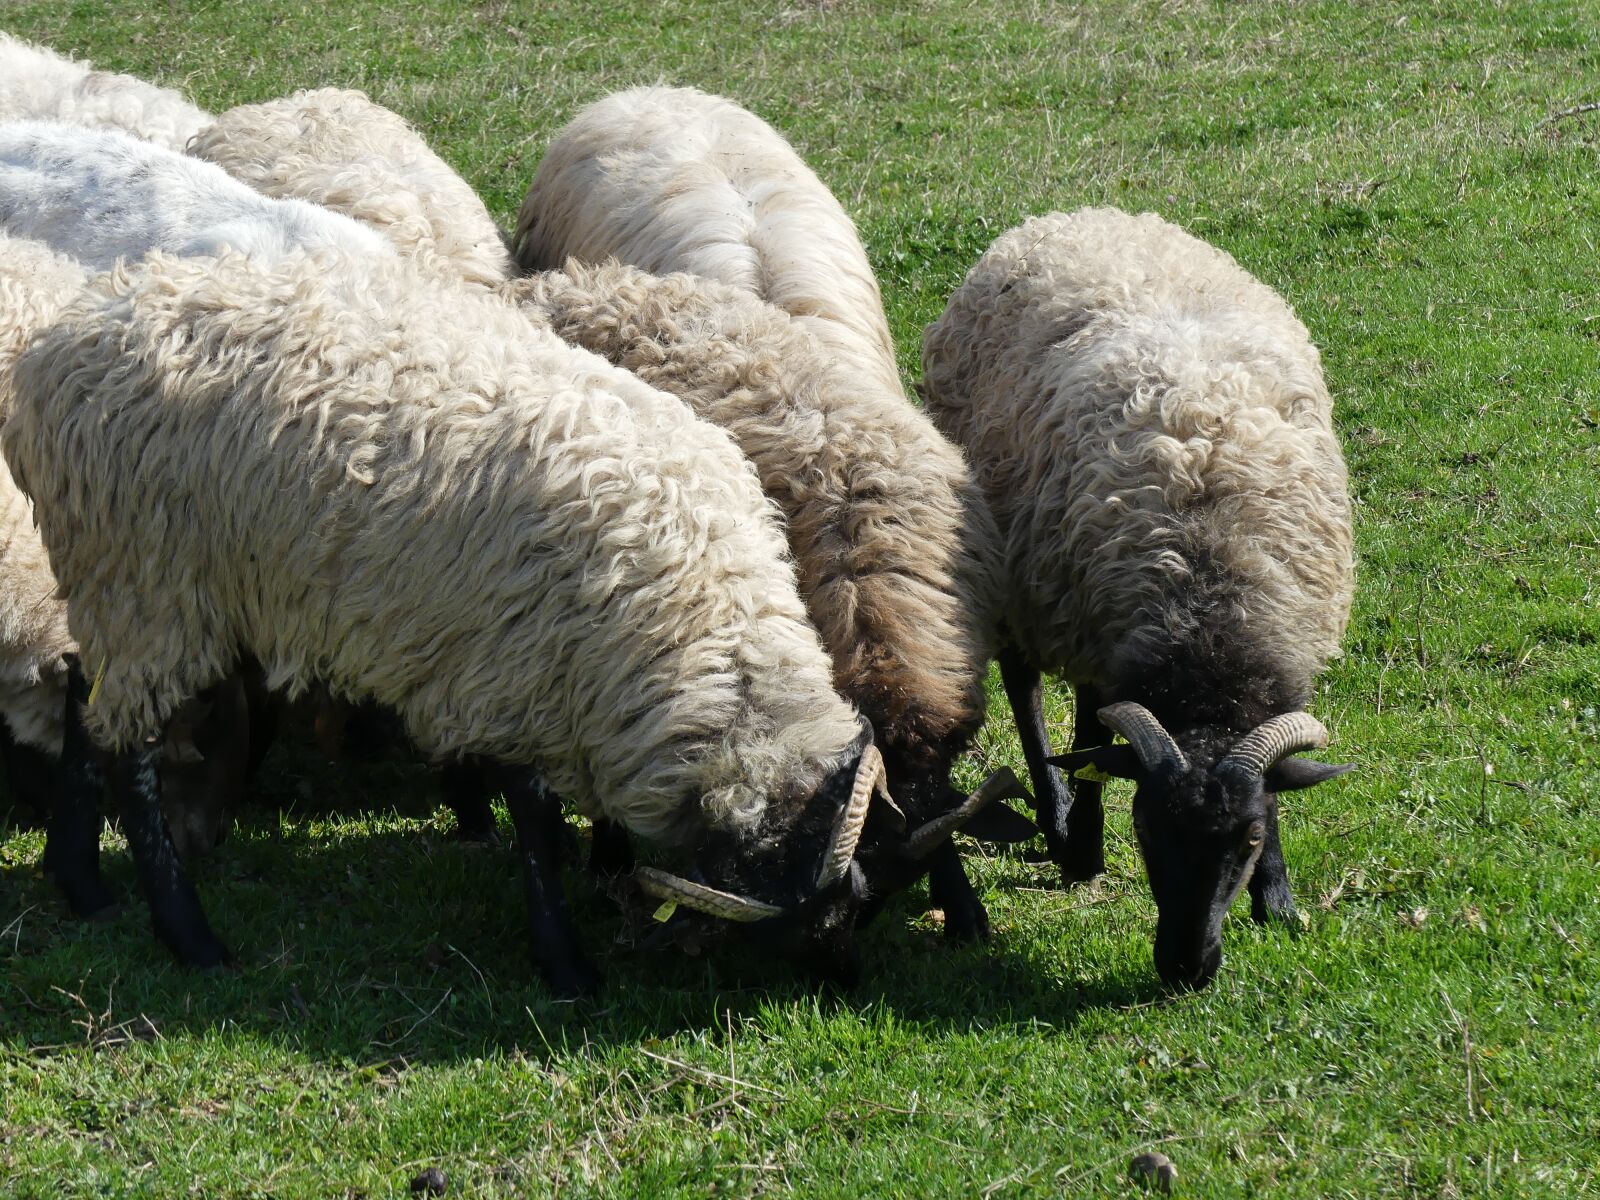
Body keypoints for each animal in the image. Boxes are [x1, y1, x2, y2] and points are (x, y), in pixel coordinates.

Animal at [921, 208, 1357, 990]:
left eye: (1249, 837)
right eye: (1147, 828)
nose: (1187, 968)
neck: (1212, 618)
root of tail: (1071, 216)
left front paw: (1277, 903)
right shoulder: (1097, 634)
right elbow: (1090, 738)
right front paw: (1085, 848)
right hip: (1013, 566)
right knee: (1027, 690)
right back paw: (1060, 818)